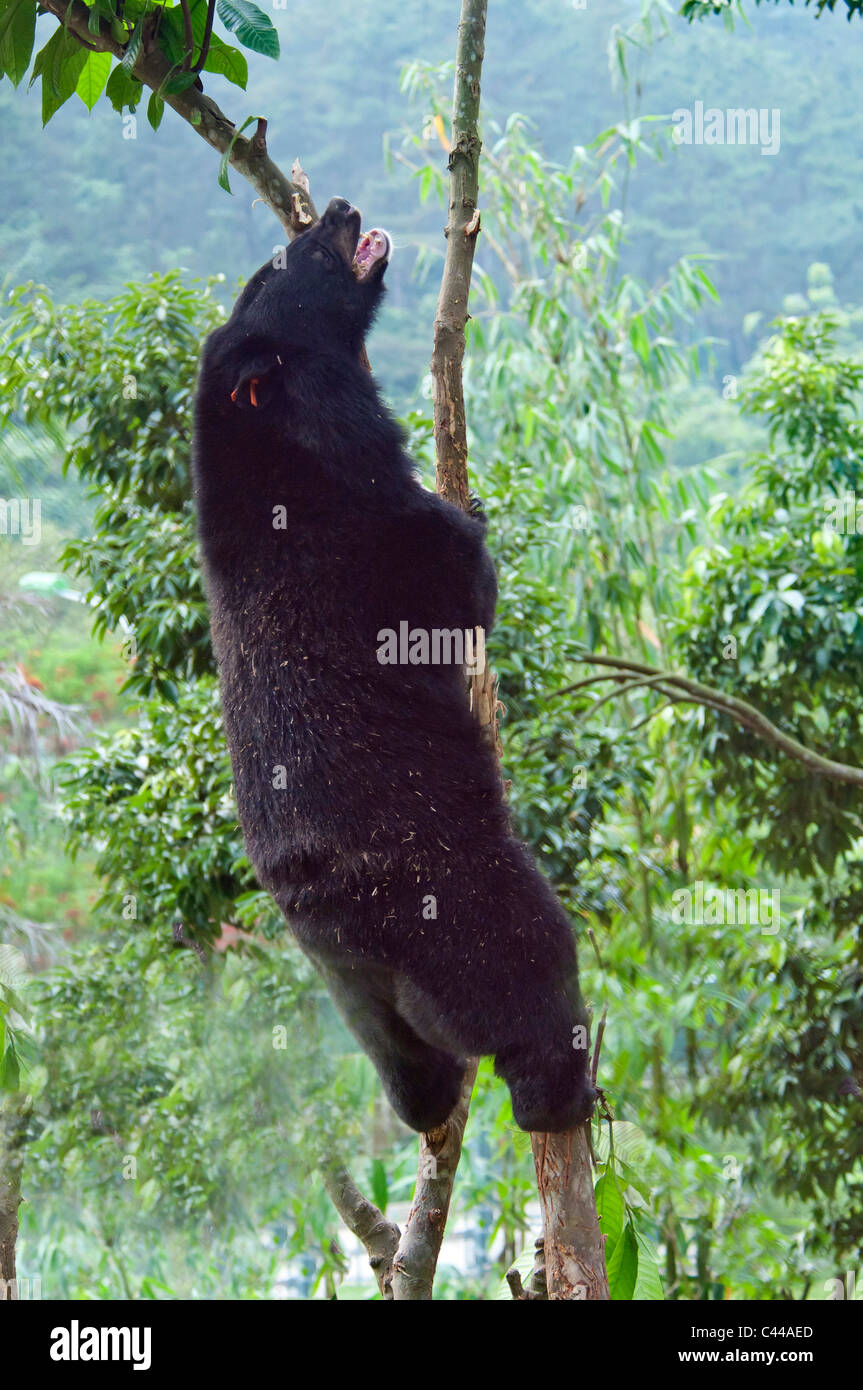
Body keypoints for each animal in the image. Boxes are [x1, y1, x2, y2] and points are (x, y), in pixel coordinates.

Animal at [192, 196, 595, 1133]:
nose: (340, 207)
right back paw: (563, 1091)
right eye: (293, 255)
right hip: (458, 901)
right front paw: (474, 519)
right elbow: (455, 584)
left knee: (409, 1074)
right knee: (531, 976)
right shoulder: (372, 534)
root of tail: (334, 927)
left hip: (355, 1002)